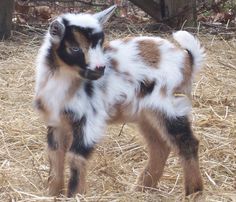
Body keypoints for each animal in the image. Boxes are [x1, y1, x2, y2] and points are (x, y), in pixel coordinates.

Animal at [34, 5, 205, 197]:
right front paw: (52, 194)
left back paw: (193, 193)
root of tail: (187, 59)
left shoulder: (89, 120)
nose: (100, 68)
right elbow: (55, 155)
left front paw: (75, 195)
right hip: (146, 114)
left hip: (170, 107)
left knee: (188, 143)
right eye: (75, 48)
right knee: (160, 146)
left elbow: (75, 157)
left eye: (100, 44)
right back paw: (142, 188)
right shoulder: (56, 121)